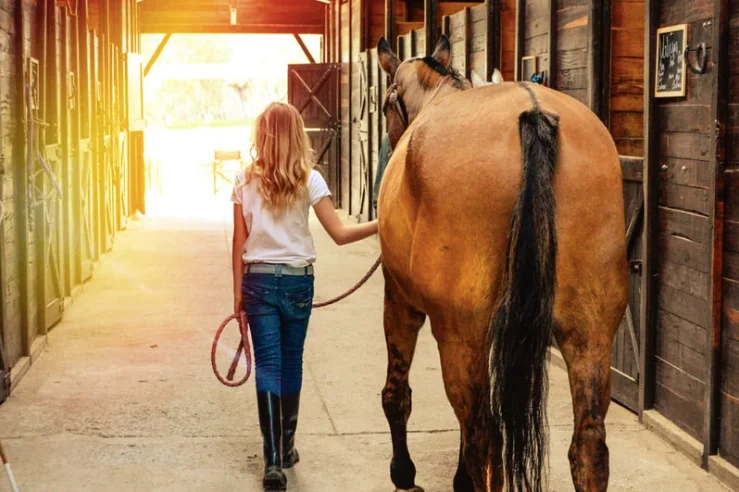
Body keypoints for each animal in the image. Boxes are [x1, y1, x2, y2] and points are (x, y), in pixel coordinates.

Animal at [374, 34, 628, 492]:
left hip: (460, 335)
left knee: (484, 439)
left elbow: (396, 395)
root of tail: (533, 113)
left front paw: (403, 473)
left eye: (387, 104)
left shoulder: (400, 299)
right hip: (590, 334)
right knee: (588, 446)